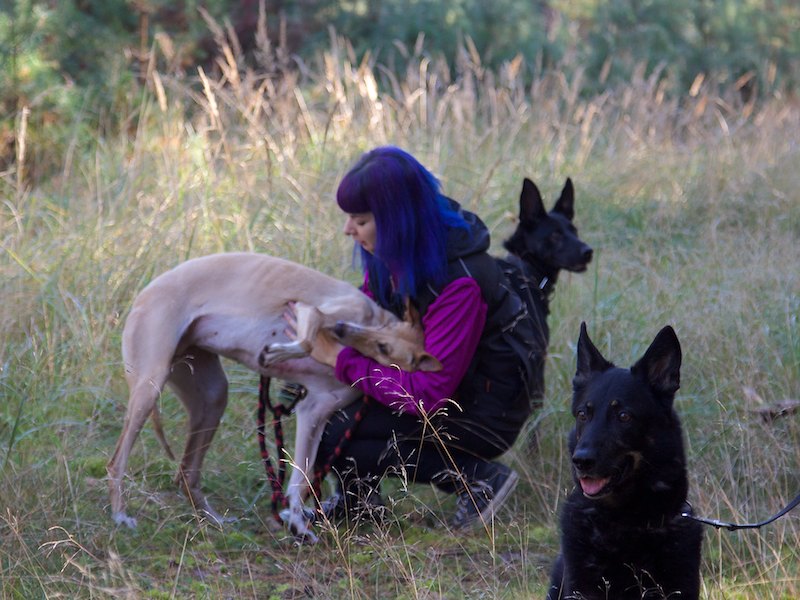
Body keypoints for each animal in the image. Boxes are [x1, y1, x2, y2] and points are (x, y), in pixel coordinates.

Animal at [106, 252, 441, 543]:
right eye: (381, 335)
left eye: (385, 347)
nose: (342, 329)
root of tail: (146, 291)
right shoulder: (311, 312)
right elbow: (307, 340)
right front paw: (278, 351)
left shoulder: (314, 410)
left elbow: (301, 479)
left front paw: (297, 524)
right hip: (149, 386)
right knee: (117, 462)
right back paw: (121, 516)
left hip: (212, 398)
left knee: (186, 473)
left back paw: (214, 520)